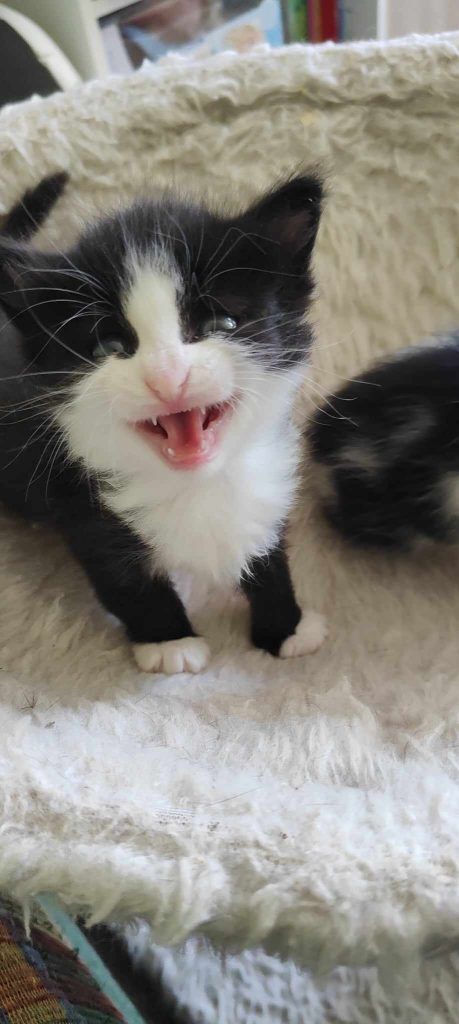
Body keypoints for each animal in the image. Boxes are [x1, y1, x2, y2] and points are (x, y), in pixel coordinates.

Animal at [0, 170, 327, 674]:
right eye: (110, 346)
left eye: (222, 323)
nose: (167, 375)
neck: (196, 484)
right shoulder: (78, 499)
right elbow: (124, 580)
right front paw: (170, 642)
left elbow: (264, 545)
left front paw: (285, 627)